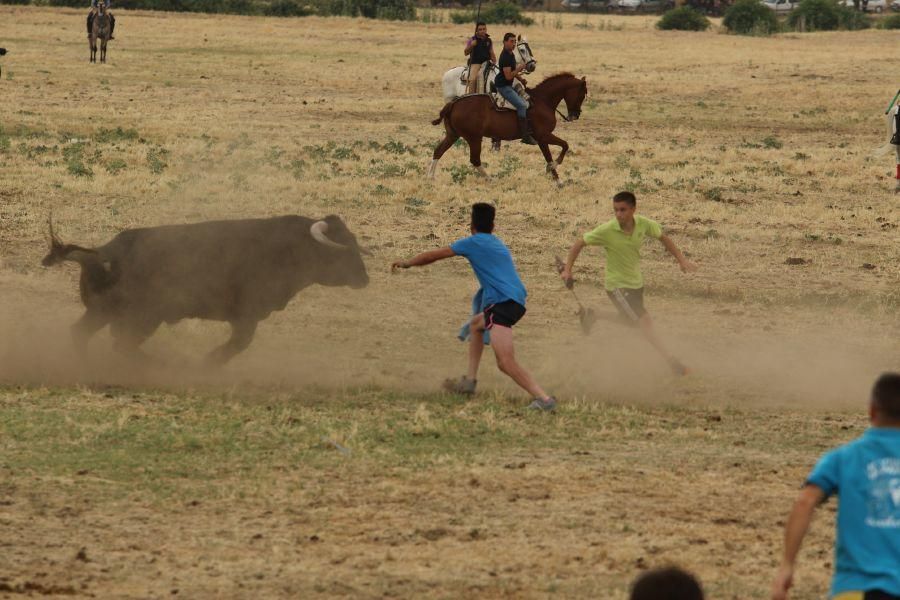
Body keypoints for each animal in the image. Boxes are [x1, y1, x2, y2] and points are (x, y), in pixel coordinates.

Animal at [42, 216, 370, 366]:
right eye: (343, 247)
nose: (364, 278)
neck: (289, 248)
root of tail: (104, 252)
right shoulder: (246, 316)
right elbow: (238, 345)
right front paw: (207, 363)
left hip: (103, 314)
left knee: (83, 334)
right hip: (141, 318)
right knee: (121, 344)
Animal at [430, 71, 592, 183]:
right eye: (582, 95)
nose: (575, 115)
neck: (542, 101)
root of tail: (454, 103)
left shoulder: (541, 139)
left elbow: (554, 153)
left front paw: (555, 175)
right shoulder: (543, 136)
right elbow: (562, 147)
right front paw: (556, 174)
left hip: (453, 135)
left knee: (438, 151)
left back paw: (430, 178)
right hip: (474, 138)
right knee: (475, 160)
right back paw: (490, 179)